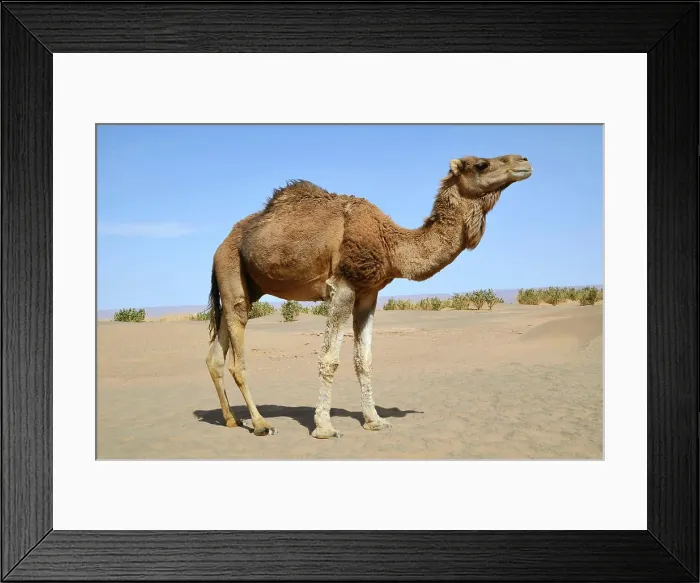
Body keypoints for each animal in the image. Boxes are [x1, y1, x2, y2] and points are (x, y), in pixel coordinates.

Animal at [205, 154, 532, 438]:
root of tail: (219, 246)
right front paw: (324, 427)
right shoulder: (343, 286)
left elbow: (364, 359)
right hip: (231, 268)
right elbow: (329, 359)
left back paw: (232, 420)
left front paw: (374, 420)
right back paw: (261, 424)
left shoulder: (368, 293)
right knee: (236, 357)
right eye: (482, 164)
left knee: (215, 355)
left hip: (245, 287)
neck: (391, 245)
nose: (524, 161)